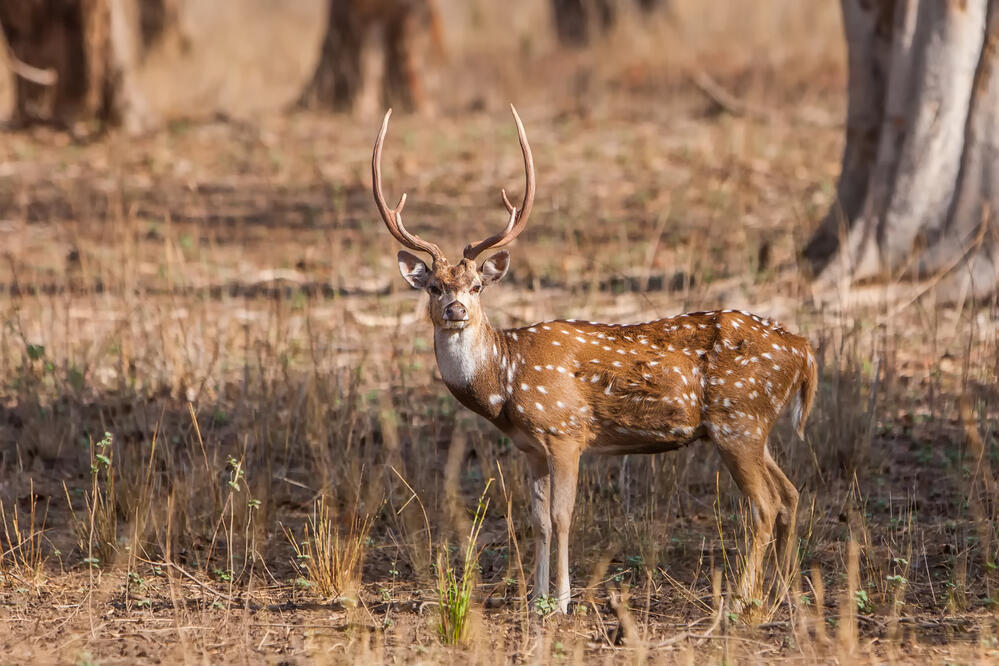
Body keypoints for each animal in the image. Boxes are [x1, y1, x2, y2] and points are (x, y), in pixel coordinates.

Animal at [371, 106, 818, 614]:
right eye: (433, 286)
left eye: (477, 286)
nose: (455, 310)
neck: (506, 382)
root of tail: (804, 351)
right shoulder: (530, 447)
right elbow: (538, 520)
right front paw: (536, 599)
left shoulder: (564, 431)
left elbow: (564, 516)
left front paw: (563, 600)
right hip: (754, 425)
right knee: (790, 495)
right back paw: (784, 592)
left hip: (738, 421)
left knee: (765, 505)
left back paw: (743, 597)